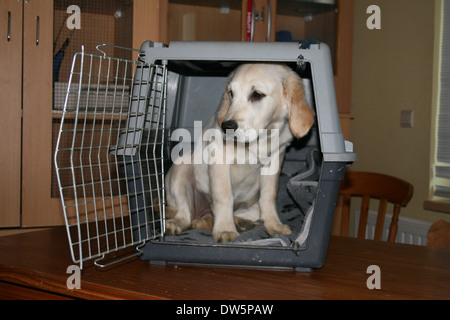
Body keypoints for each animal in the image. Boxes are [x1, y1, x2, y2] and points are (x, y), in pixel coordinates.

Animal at [163, 63, 314, 242]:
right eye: (231, 94)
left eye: (257, 95)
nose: (226, 127)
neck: (258, 140)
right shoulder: (219, 159)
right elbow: (223, 196)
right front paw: (225, 229)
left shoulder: (274, 161)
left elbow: (269, 196)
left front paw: (274, 225)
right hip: (182, 167)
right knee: (185, 214)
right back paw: (177, 223)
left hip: (251, 207)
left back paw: (241, 223)